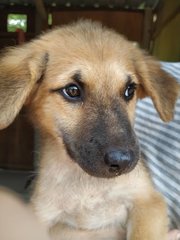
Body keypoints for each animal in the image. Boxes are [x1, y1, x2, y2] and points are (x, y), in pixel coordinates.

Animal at [0, 19, 179, 239]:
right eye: (72, 90)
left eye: (130, 90)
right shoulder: (41, 217)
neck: (87, 185)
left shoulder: (147, 200)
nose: (123, 161)